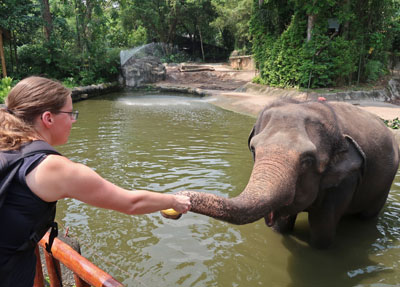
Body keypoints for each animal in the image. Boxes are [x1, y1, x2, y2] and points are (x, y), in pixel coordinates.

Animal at [169, 99, 400, 250]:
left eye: (307, 160)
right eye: (253, 149)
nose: (177, 208)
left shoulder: (345, 181)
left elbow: (322, 231)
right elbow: (282, 226)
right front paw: (282, 228)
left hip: (385, 184)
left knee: (367, 216)